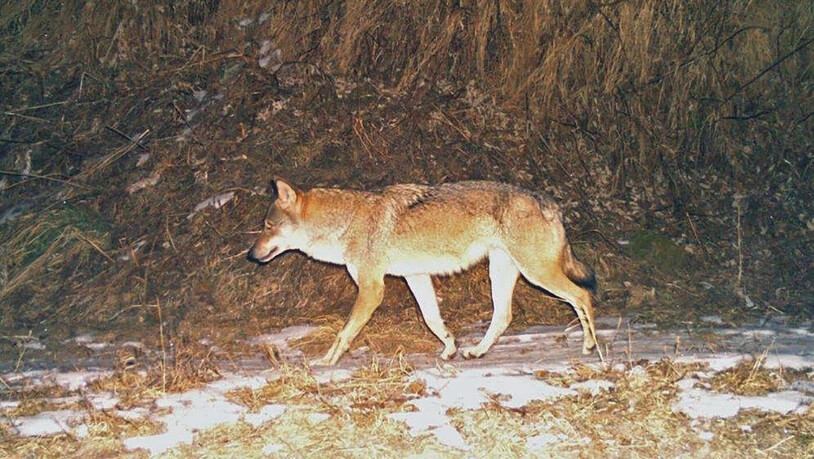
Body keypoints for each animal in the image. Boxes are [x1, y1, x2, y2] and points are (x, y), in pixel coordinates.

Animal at [248, 179, 598, 366]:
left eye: (267, 226)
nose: (251, 254)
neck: (346, 223)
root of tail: (549, 201)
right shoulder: (415, 278)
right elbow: (433, 320)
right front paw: (450, 348)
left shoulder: (372, 289)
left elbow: (344, 332)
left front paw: (327, 361)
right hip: (503, 274)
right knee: (504, 316)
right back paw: (477, 351)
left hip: (537, 273)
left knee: (582, 295)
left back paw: (589, 346)